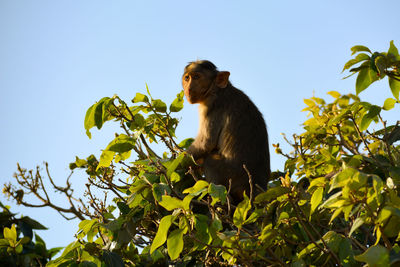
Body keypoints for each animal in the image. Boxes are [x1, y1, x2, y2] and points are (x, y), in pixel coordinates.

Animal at [182, 60, 270, 203]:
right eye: (187, 78)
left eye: (196, 77)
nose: (188, 88)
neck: (217, 89)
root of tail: (259, 185)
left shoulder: (211, 108)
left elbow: (206, 143)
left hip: (232, 175)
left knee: (210, 160)